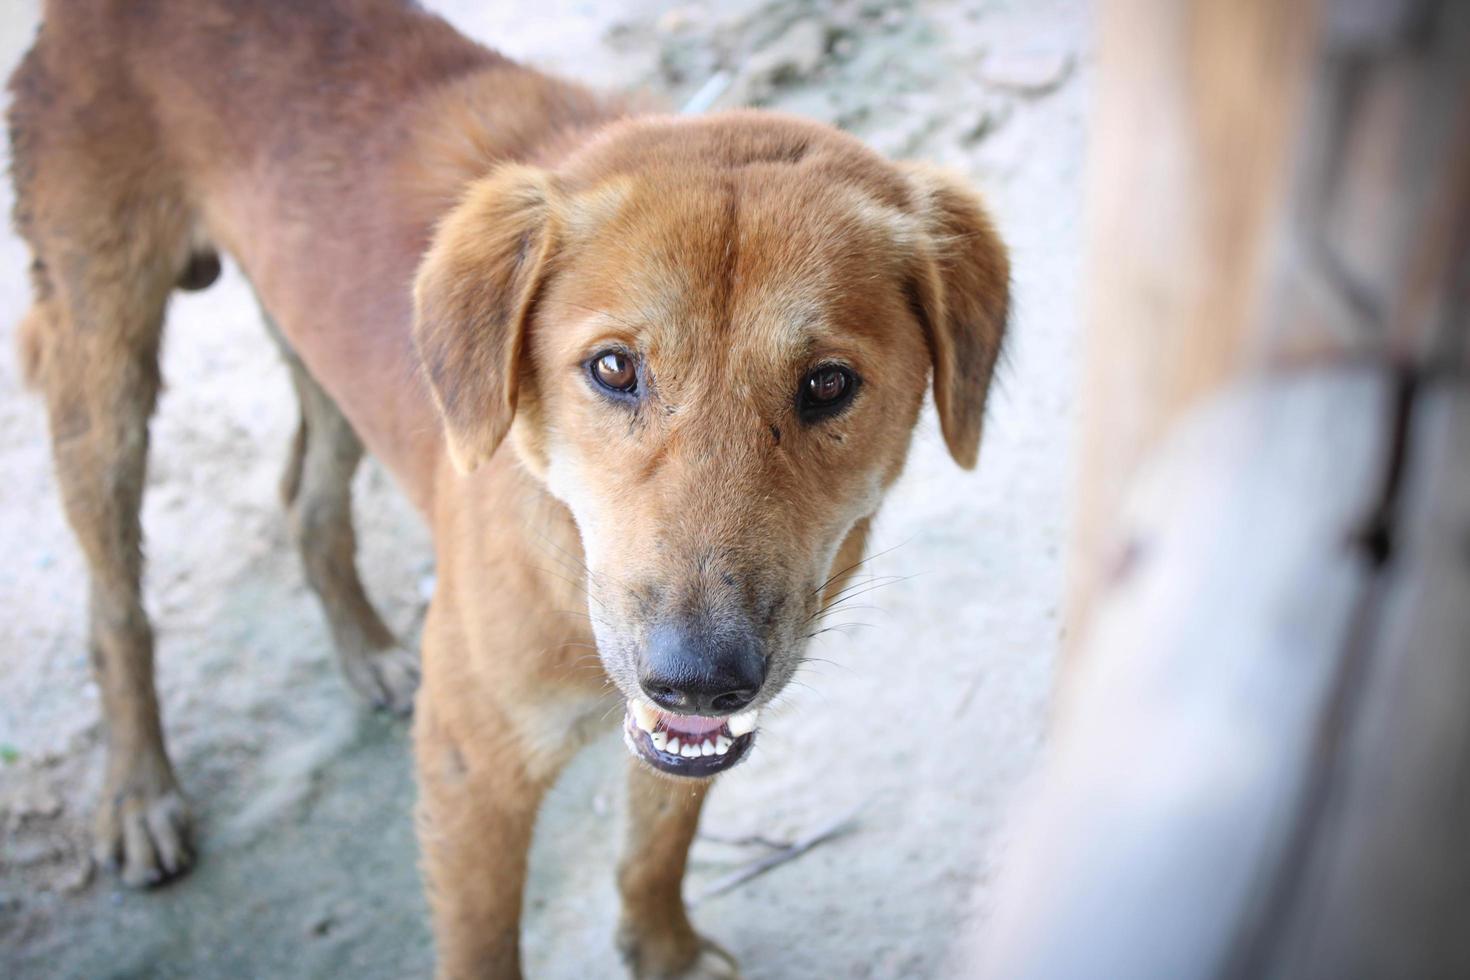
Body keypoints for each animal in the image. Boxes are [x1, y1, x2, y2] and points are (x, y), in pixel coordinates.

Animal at [8, 3, 1011, 975]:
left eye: (829, 384)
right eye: (613, 368)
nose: (700, 679)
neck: (566, 552)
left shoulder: (680, 738)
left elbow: (658, 843)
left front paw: (665, 951)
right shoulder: (470, 770)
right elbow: (483, 943)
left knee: (305, 496)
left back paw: (367, 649)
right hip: (101, 361)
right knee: (115, 604)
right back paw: (138, 793)